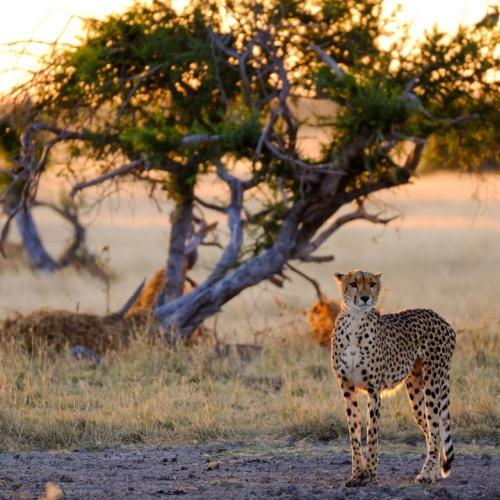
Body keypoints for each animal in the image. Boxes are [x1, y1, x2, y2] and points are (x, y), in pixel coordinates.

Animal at [332, 272, 458, 486]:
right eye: (354, 284)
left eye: (372, 284)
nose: (365, 298)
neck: (355, 321)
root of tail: (439, 317)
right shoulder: (347, 389)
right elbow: (354, 434)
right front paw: (357, 475)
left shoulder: (374, 391)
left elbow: (372, 434)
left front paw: (371, 475)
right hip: (416, 392)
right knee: (430, 429)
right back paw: (432, 471)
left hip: (433, 383)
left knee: (435, 429)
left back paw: (427, 474)